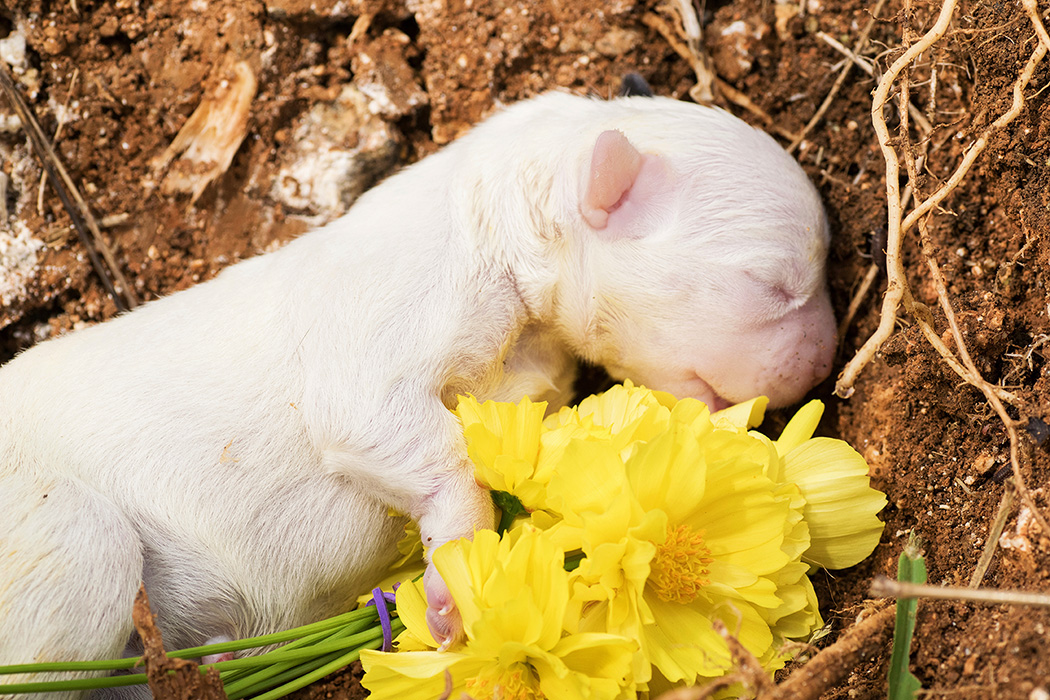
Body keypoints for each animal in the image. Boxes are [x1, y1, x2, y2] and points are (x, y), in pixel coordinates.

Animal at [2, 86, 835, 696]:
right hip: (69, 540)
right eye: (773, 282)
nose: (828, 360)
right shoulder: (377, 334)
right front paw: (450, 589)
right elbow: (423, 448)